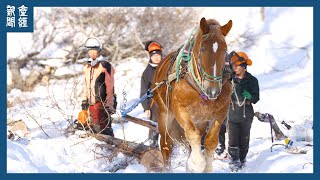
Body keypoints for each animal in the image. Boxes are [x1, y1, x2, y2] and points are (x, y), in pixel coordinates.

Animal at [152, 17, 232, 172]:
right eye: (203, 49)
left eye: (225, 49)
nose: (213, 91)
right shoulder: (180, 109)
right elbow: (192, 135)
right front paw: (196, 163)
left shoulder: (221, 112)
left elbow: (210, 141)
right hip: (165, 114)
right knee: (166, 144)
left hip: (200, 120)